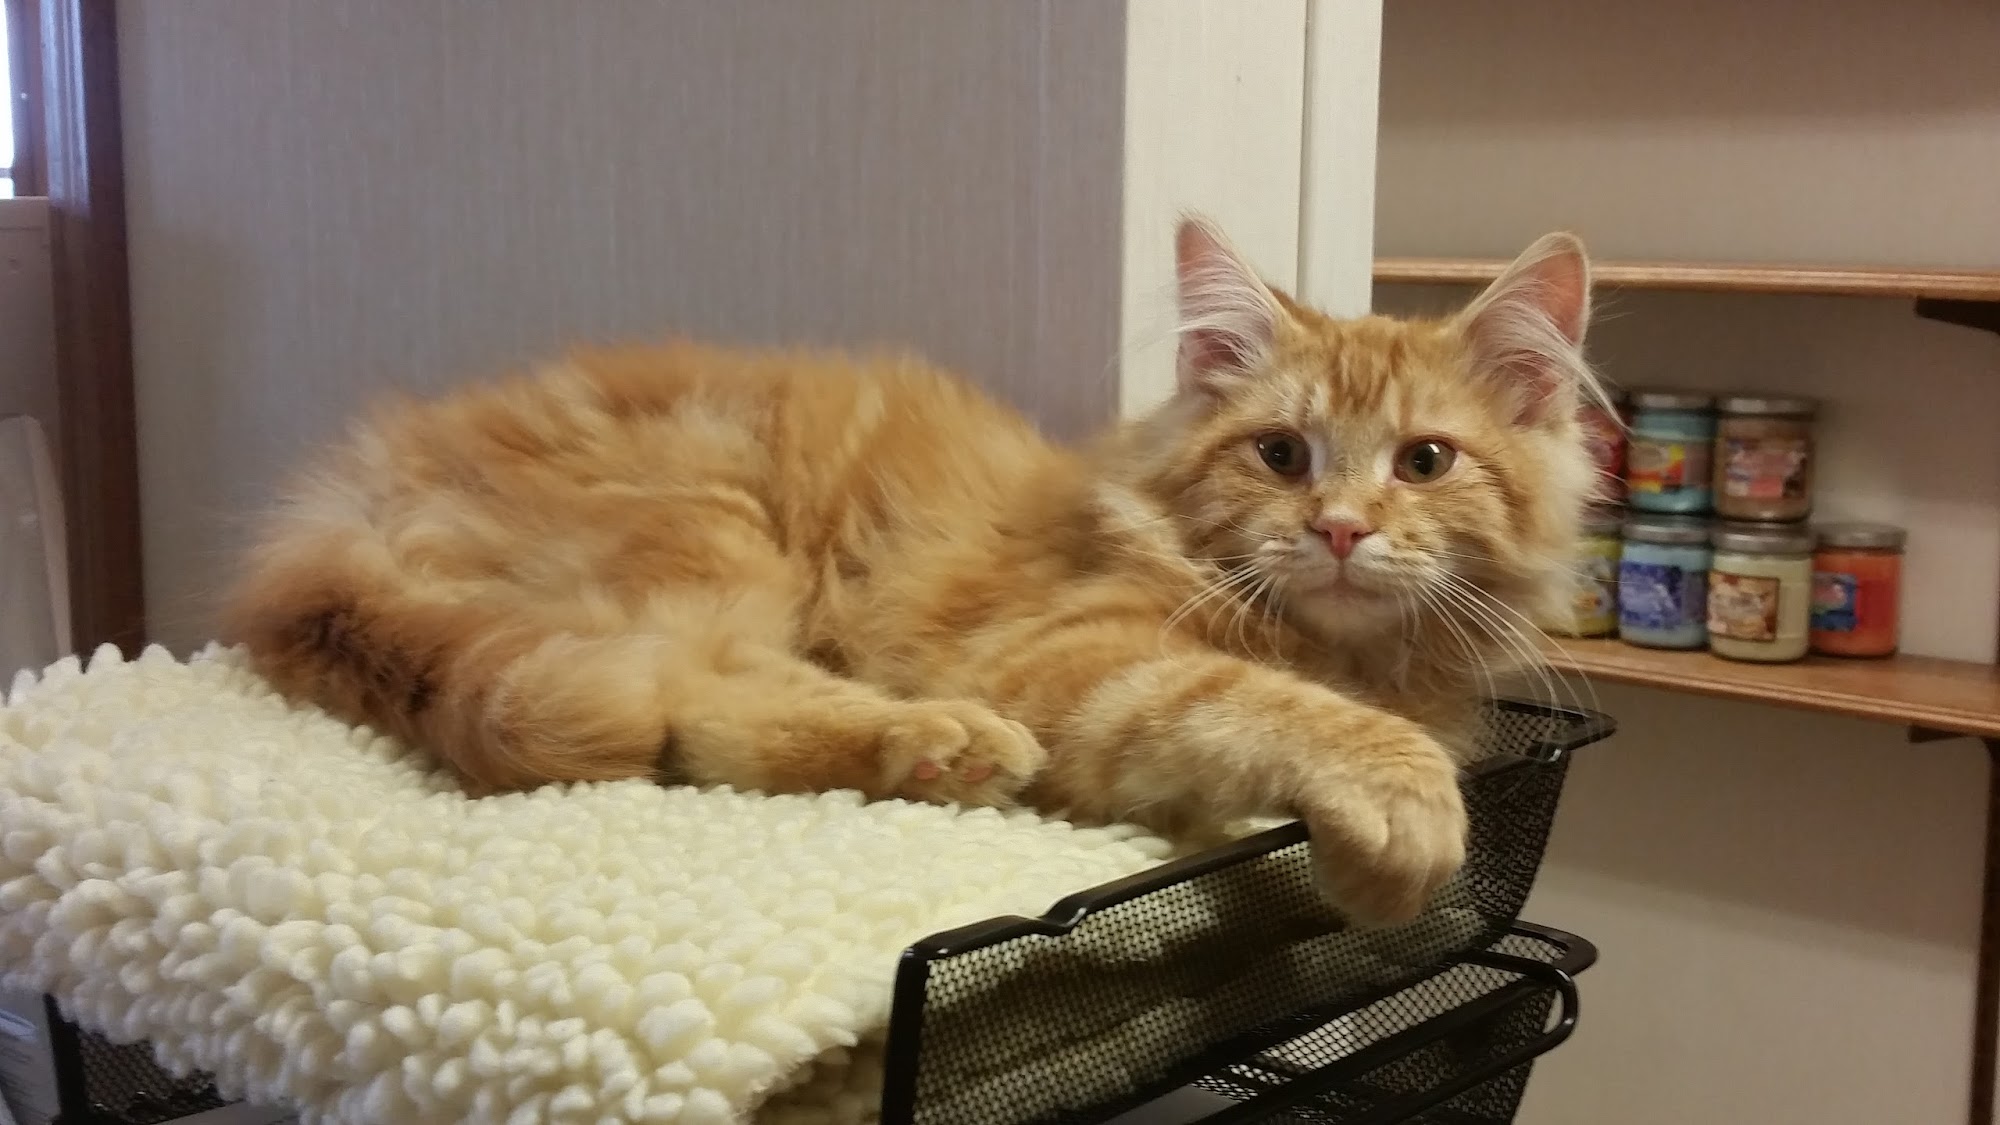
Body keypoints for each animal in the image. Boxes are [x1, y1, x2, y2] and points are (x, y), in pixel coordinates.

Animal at [220, 217, 1597, 926]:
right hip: (711, 521)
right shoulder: (1062, 654)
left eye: (1424, 461)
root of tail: (353, 484)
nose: (1341, 531)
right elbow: (1257, 704)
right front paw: (1395, 817)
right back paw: (938, 738)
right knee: (694, 703)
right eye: (1278, 454)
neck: (1349, 650)